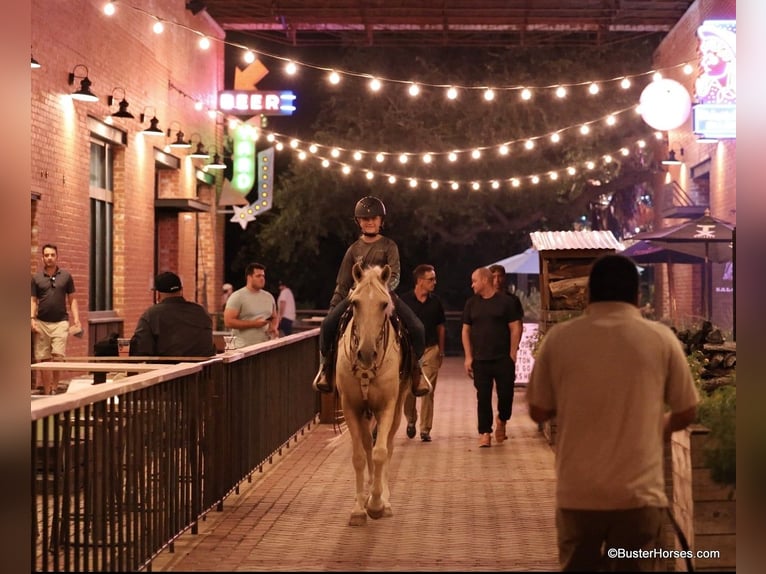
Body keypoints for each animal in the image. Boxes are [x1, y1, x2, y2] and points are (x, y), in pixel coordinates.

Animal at [338, 264, 412, 528]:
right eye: (355, 302)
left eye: (383, 304)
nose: (366, 354)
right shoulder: (351, 407)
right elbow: (360, 456)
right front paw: (360, 508)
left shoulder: (387, 406)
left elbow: (381, 453)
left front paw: (378, 504)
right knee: (367, 445)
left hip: (398, 408)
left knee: (386, 446)